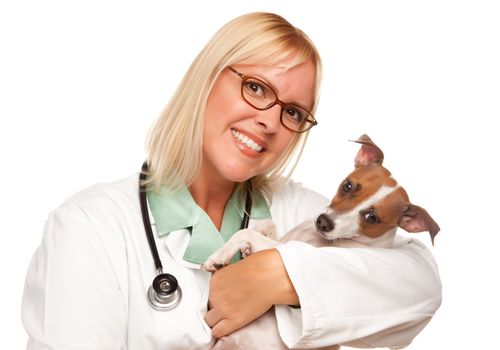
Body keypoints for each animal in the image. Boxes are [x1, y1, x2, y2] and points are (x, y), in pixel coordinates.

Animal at [201, 134, 440, 350]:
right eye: (348, 185)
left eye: (372, 218)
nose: (323, 222)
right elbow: (268, 224)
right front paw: (252, 241)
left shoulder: (286, 250)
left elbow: (246, 234)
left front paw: (220, 256)